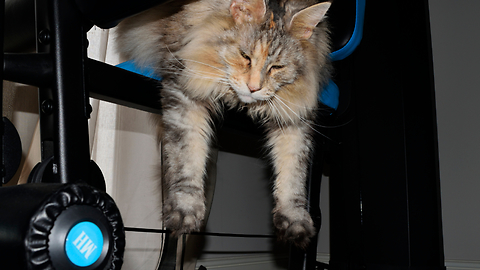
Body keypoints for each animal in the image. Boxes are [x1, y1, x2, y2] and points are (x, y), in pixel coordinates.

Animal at [116, 0, 332, 247]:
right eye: (245, 56)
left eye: (276, 67)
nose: (253, 88)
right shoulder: (185, 91)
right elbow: (187, 159)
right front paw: (186, 209)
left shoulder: (296, 119)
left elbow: (293, 174)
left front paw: (295, 219)